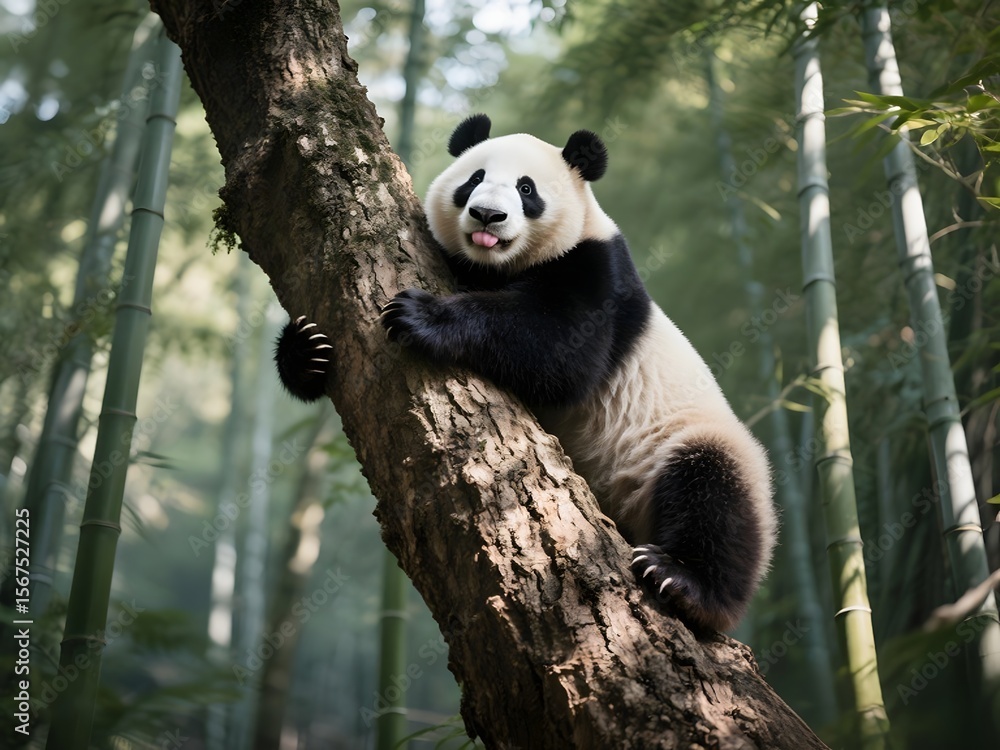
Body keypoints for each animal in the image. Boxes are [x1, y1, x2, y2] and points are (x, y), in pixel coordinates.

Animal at [276, 114, 777, 633]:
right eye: (474, 179)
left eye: (526, 188)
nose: (487, 216)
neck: (494, 268)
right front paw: (306, 348)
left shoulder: (597, 270)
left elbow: (561, 350)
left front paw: (423, 316)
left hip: (693, 443)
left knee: (714, 495)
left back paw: (683, 582)